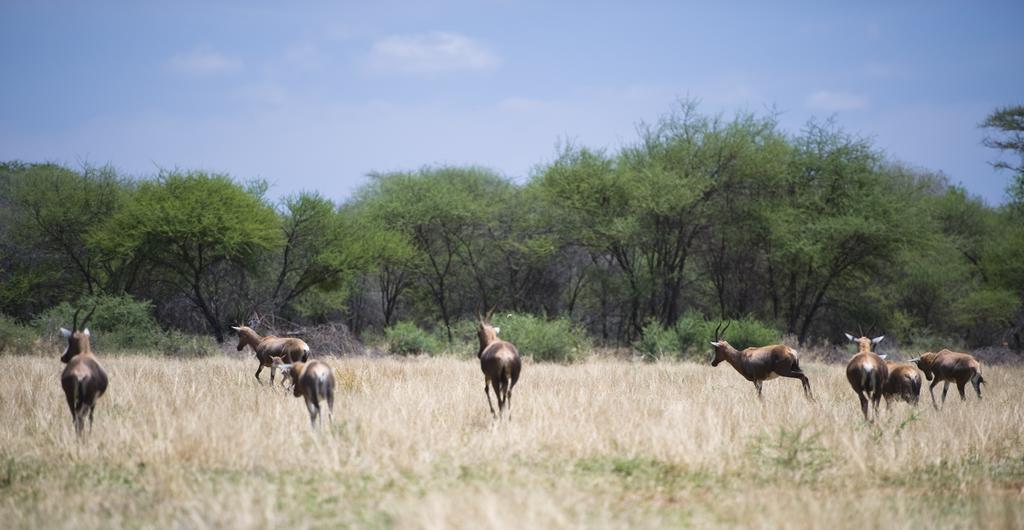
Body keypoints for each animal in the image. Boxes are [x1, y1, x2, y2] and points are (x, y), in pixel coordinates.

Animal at [58, 308, 108, 437]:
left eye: (69, 340)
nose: (63, 357)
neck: (85, 353)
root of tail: (80, 374)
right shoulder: (94, 400)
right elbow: (91, 417)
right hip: (87, 400)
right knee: (82, 416)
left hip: (70, 397)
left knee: (75, 417)